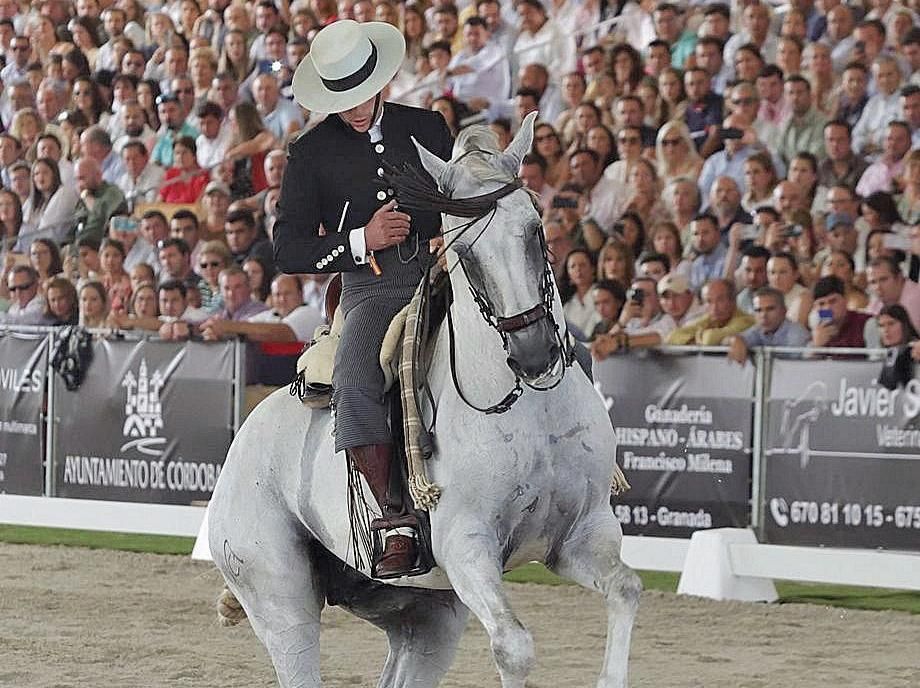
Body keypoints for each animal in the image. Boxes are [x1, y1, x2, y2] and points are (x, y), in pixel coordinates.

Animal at [208, 113, 640, 688]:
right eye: (464, 249)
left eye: (534, 228)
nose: (533, 352)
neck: (529, 412)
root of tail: (244, 440)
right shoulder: (467, 547)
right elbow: (514, 646)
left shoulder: (581, 534)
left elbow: (625, 589)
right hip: (282, 602)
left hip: (424, 614)